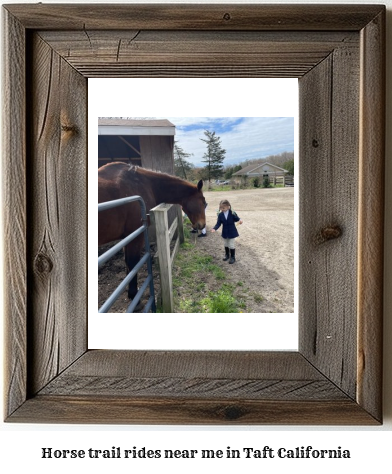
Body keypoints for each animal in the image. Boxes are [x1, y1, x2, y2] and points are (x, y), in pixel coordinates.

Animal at [98, 163, 207, 304]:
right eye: (204, 202)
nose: (202, 225)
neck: (143, 184)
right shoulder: (135, 235)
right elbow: (132, 262)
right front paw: (134, 296)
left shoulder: (127, 237)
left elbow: (128, 264)